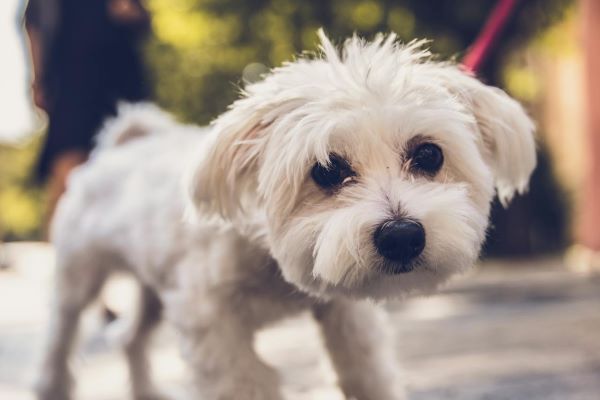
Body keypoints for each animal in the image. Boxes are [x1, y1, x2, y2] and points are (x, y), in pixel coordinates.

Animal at [36, 32, 536, 400]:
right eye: (327, 170)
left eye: (429, 154)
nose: (402, 235)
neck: (270, 257)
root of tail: (124, 144)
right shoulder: (209, 320)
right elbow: (244, 384)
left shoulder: (343, 312)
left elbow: (365, 373)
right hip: (77, 280)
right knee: (60, 343)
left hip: (154, 292)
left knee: (129, 338)